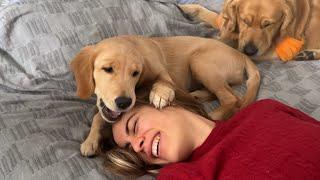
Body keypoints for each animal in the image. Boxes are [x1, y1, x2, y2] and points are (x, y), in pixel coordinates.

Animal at [70, 35, 260, 156]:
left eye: (135, 73)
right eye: (107, 69)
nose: (124, 102)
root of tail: (241, 54)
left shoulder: (163, 72)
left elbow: (164, 81)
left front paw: (160, 94)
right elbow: (98, 117)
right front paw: (90, 141)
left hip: (199, 61)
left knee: (232, 98)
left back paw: (214, 115)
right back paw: (197, 95)